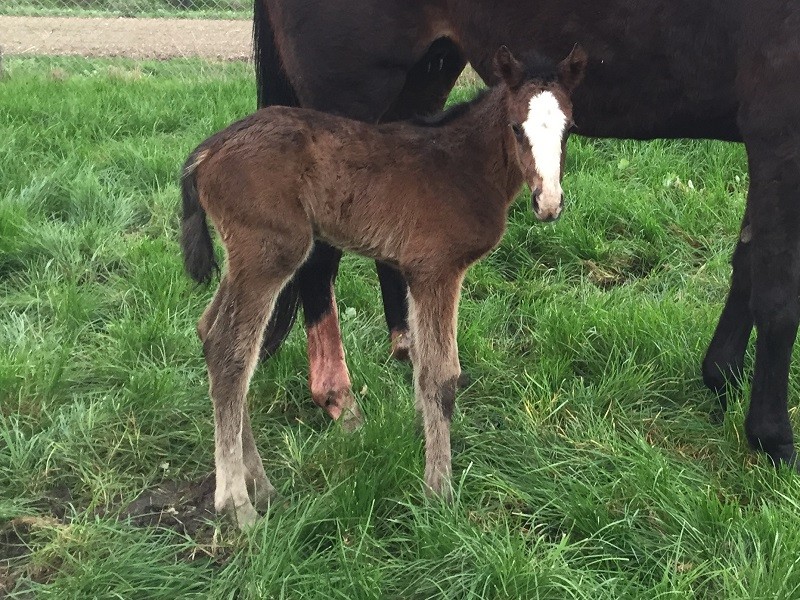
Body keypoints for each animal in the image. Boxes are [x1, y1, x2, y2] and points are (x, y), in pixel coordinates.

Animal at [178, 45, 584, 524]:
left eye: (569, 128)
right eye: (516, 127)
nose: (549, 203)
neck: (462, 165)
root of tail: (207, 150)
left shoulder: (415, 273)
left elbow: (422, 368)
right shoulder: (436, 270)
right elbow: (441, 377)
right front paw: (439, 493)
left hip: (244, 259)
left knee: (209, 333)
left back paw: (261, 487)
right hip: (269, 253)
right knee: (231, 352)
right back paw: (238, 506)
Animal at [253, 0, 800, 468]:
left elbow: (747, 264)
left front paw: (722, 377)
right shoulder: (778, 132)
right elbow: (778, 295)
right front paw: (773, 437)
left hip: (424, 75)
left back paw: (410, 352)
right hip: (349, 97)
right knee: (318, 257)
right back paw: (338, 398)